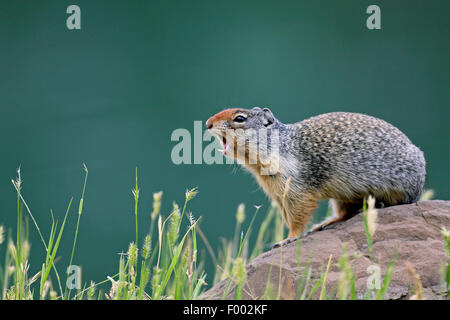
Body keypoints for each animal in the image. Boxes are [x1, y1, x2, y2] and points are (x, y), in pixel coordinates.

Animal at [206, 107, 428, 240]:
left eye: (239, 118)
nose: (208, 123)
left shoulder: (296, 186)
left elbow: (298, 212)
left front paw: (289, 238)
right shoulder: (277, 191)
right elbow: (286, 214)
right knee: (345, 211)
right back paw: (327, 222)